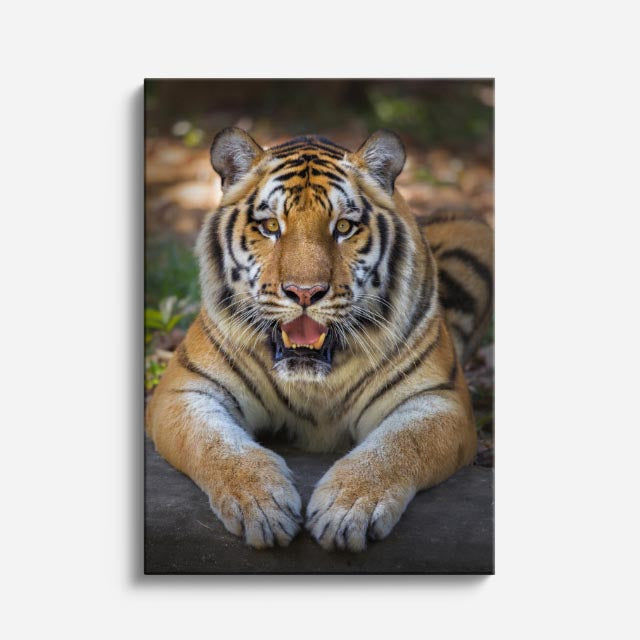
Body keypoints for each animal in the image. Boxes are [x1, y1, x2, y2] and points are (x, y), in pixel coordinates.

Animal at [145, 127, 494, 552]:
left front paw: (347, 509)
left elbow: (398, 447)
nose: (305, 292)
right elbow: (216, 445)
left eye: (343, 227)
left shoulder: (438, 399)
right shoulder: (186, 390)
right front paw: (262, 504)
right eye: (270, 226)